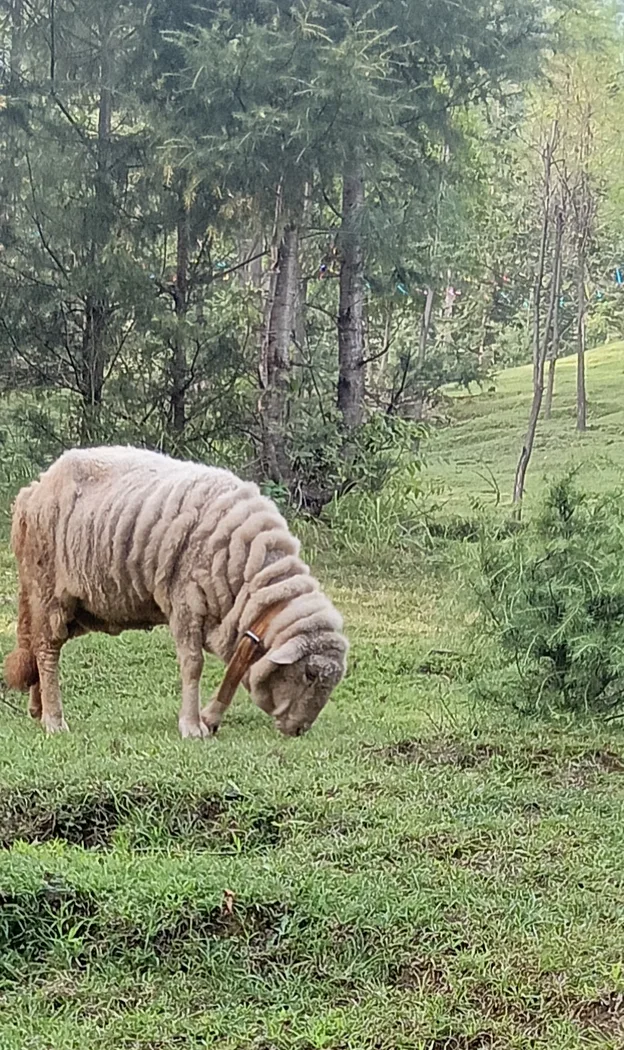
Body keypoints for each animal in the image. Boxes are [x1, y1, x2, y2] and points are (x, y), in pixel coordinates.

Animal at [4, 446, 348, 738]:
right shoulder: (186, 601)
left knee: (36, 644)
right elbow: (193, 664)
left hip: (76, 606)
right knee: (47, 649)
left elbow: (233, 671)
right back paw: (54, 720)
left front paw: (209, 720)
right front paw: (192, 726)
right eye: (309, 674)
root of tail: (32, 490)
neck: (252, 579)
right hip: (48, 588)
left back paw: (37, 709)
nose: (300, 730)